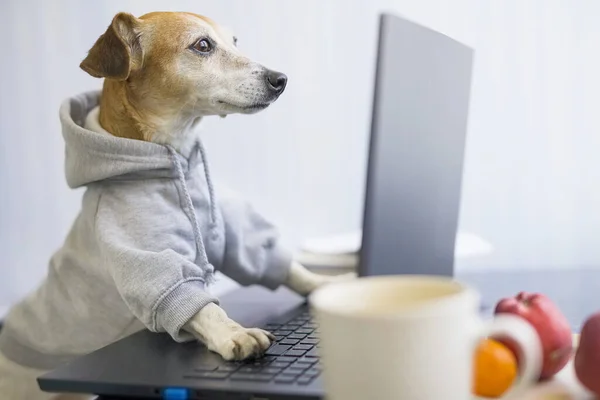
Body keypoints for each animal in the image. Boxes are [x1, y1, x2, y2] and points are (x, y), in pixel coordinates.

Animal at [0, 10, 354, 398]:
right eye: (202, 45)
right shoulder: (147, 260)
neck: (177, 157)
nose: (281, 79)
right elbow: (194, 303)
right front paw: (234, 333)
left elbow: (287, 266)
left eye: (234, 41)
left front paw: (327, 286)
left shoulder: (235, 235)